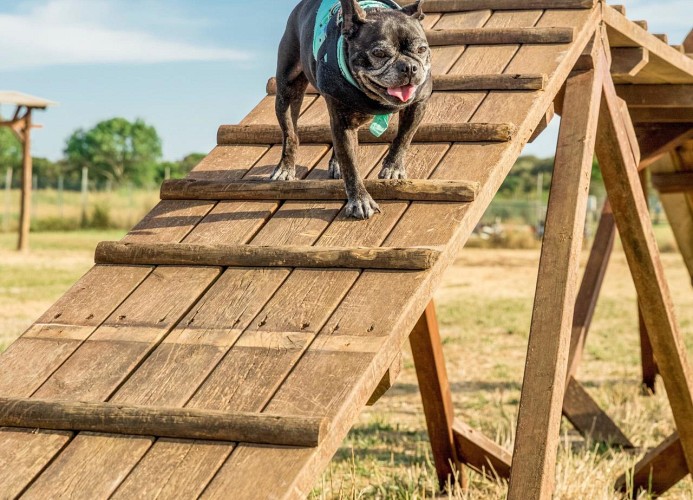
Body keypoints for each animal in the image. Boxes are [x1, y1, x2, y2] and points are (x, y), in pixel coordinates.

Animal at [274, 0, 430, 219]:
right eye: (379, 53)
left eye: (422, 49)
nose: (409, 67)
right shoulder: (343, 123)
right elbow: (350, 164)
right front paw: (360, 201)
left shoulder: (418, 104)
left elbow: (404, 138)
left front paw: (393, 168)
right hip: (287, 92)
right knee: (290, 134)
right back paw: (286, 168)